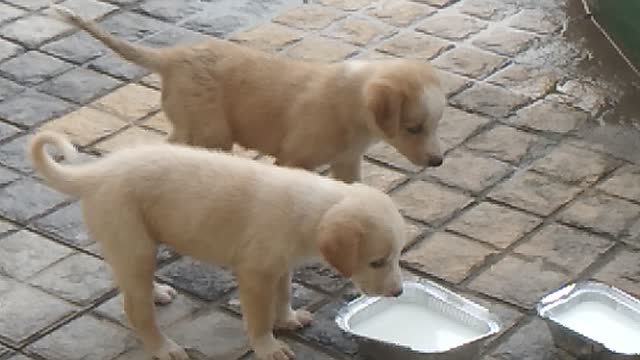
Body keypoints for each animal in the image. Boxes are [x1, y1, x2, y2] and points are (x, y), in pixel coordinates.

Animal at [27, 132, 408, 360]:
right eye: (377, 262)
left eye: (397, 258)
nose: (398, 293)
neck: (313, 207)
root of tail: (96, 174)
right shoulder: (255, 274)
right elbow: (259, 317)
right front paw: (267, 346)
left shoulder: (279, 265)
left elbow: (283, 294)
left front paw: (287, 318)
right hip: (133, 240)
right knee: (135, 310)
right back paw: (162, 347)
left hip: (129, 245)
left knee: (127, 285)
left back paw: (155, 292)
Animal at [51, 3, 444, 181]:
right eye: (413, 128)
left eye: (435, 126)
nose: (438, 161)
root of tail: (172, 57)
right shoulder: (293, 159)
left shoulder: (347, 162)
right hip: (210, 131)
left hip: (194, 125)